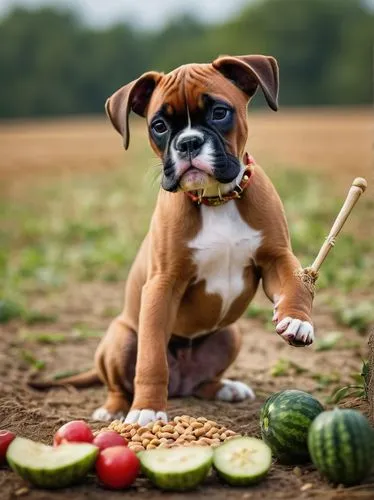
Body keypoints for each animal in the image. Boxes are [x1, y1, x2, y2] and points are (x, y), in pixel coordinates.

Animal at [30, 55, 314, 426]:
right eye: (159, 126)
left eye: (219, 112)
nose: (188, 142)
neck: (215, 199)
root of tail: (181, 384)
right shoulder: (162, 286)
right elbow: (151, 358)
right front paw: (147, 409)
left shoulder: (275, 258)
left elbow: (293, 282)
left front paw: (297, 319)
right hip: (121, 338)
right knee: (122, 382)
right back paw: (114, 408)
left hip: (230, 335)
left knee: (203, 381)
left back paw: (224, 388)